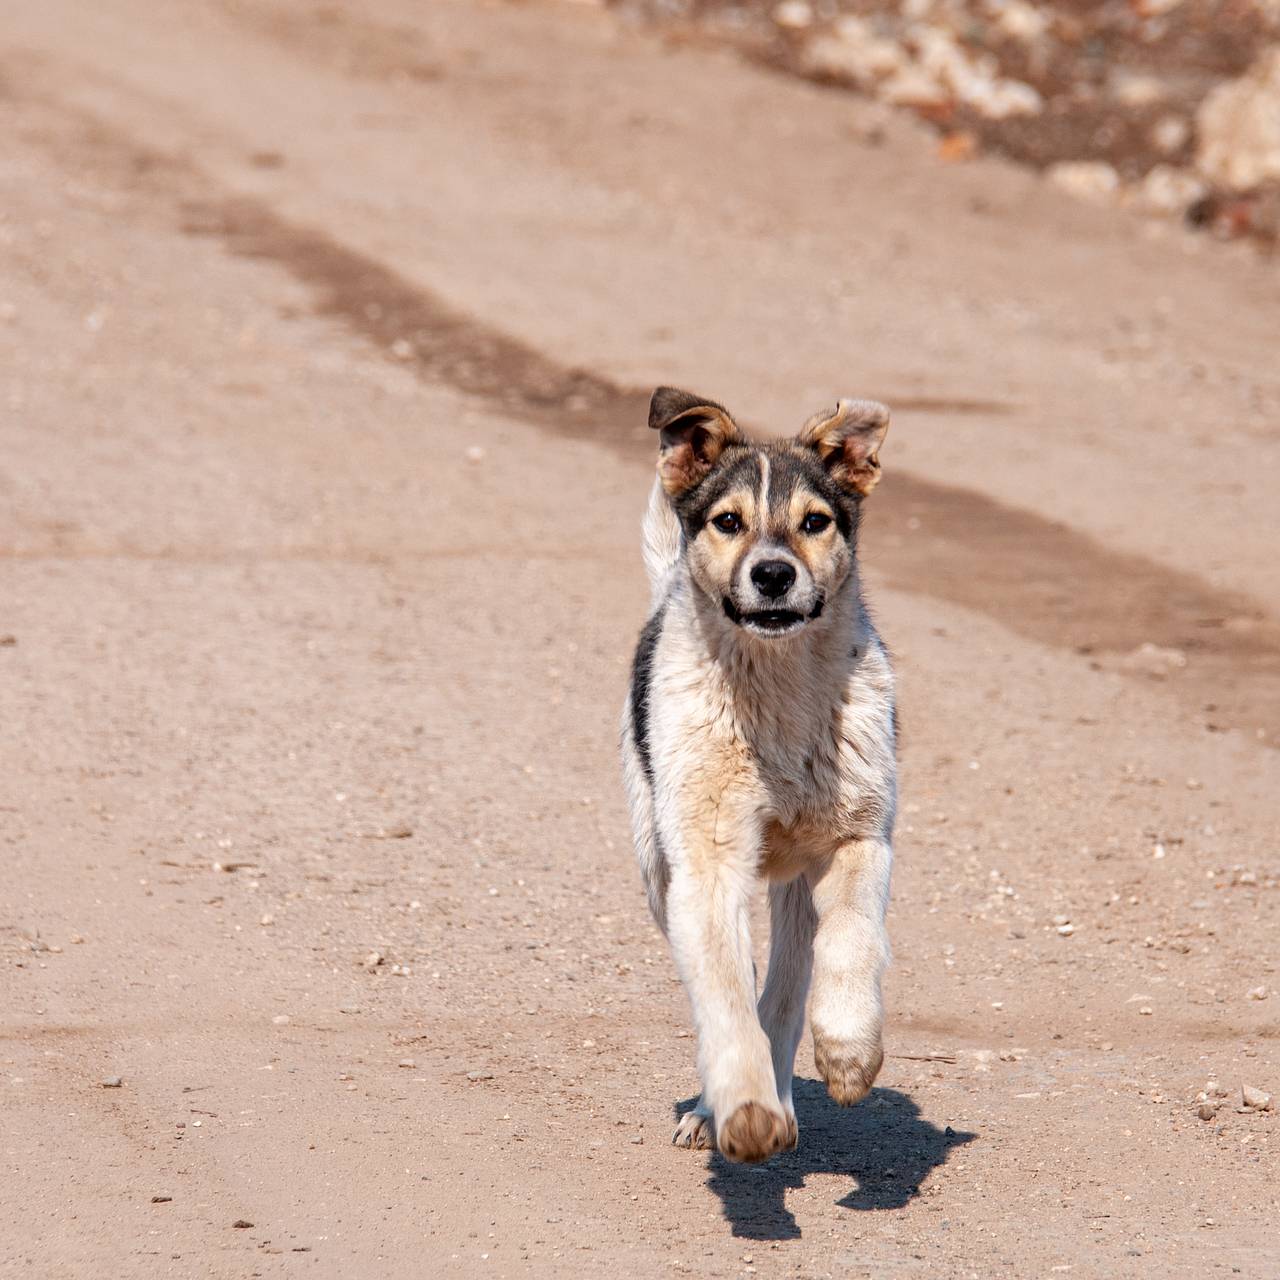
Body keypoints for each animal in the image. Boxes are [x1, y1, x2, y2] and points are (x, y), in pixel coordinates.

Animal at [616, 384, 896, 1167]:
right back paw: (719, 1109)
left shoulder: (861, 835)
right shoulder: (707, 864)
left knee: (789, 981)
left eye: (815, 522)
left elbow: (850, 939)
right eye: (728, 522)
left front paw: (850, 1052)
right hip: (659, 864)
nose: (773, 574)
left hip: (795, 883)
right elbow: (722, 993)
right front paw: (742, 1110)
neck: (776, 699)